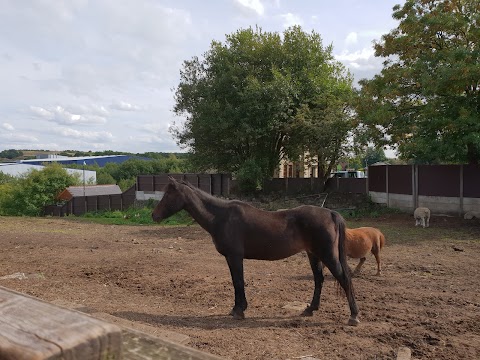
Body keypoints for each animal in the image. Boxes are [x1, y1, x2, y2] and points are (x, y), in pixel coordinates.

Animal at [152, 177, 358, 326]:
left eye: (168, 195)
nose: (154, 215)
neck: (221, 217)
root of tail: (331, 213)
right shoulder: (232, 258)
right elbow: (236, 282)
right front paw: (237, 308)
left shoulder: (235, 257)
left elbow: (238, 281)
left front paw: (239, 310)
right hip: (313, 254)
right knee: (319, 279)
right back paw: (310, 309)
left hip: (327, 255)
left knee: (344, 279)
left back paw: (354, 316)